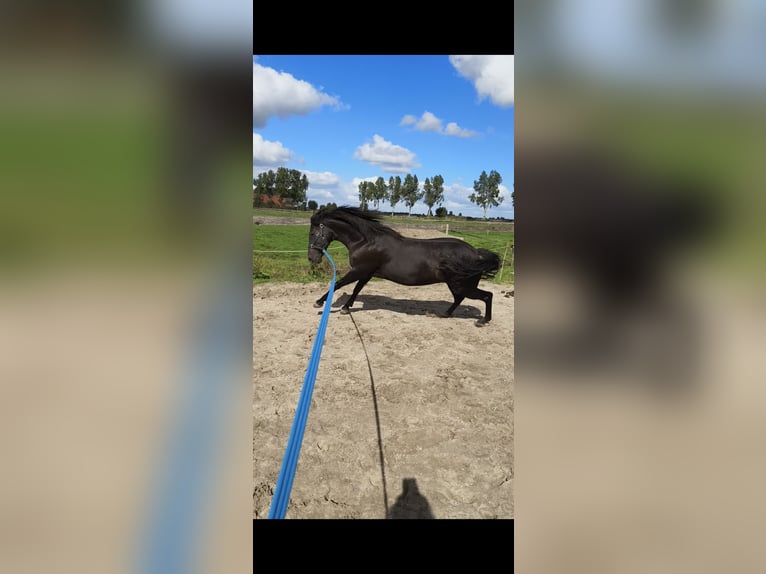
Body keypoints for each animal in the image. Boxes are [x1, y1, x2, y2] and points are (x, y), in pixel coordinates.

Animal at [307, 206, 501, 325]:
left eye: (313, 233)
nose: (312, 258)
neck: (367, 242)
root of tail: (474, 252)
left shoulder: (359, 270)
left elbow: (339, 284)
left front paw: (319, 302)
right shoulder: (366, 273)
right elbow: (356, 289)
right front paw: (346, 308)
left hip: (463, 285)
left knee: (487, 296)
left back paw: (483, 321)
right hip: (456, 285)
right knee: (459, 299)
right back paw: (444, 314)